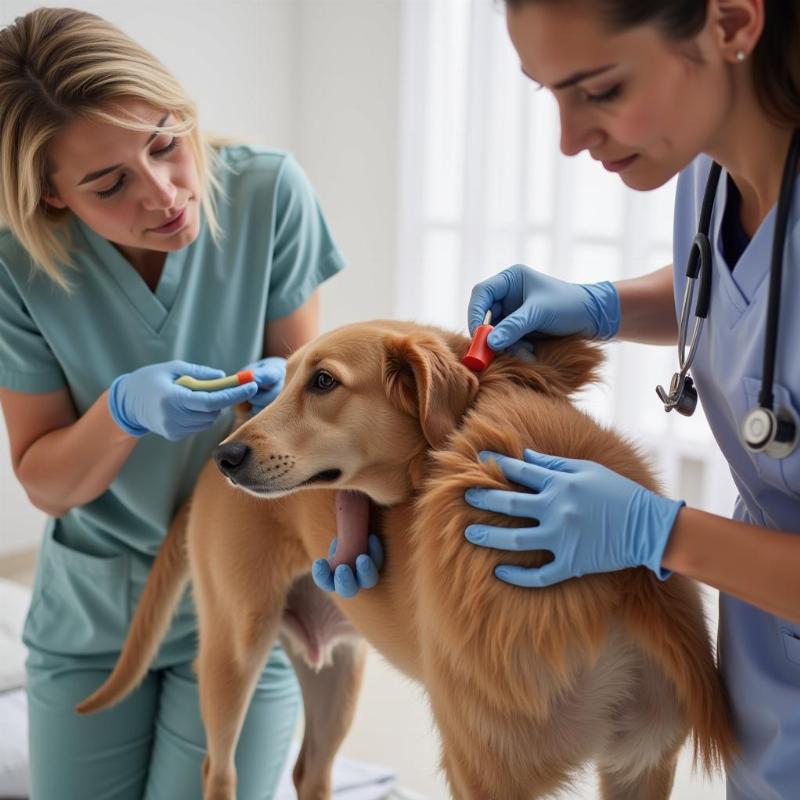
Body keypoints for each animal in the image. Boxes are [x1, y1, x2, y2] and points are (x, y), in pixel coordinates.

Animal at [78, 320, 736, 800]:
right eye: (285, 380)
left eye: (323, 382)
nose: (226, 457)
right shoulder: (486, 766)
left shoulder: (642, 759)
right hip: (233, 653)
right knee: (219, 770)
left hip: (339, 673)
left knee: (309, 773)